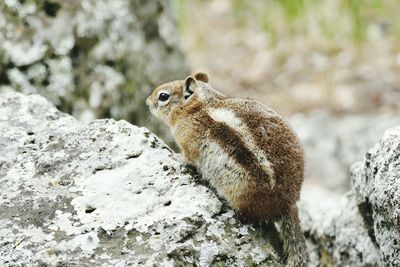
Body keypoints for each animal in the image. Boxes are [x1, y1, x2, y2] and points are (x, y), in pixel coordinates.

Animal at [147, 72, 310, 266]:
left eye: (163, 96)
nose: (147, 102)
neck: (198, 107)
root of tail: (289, 204)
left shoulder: (189, 144)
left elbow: (187, 159)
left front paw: (174, 156)